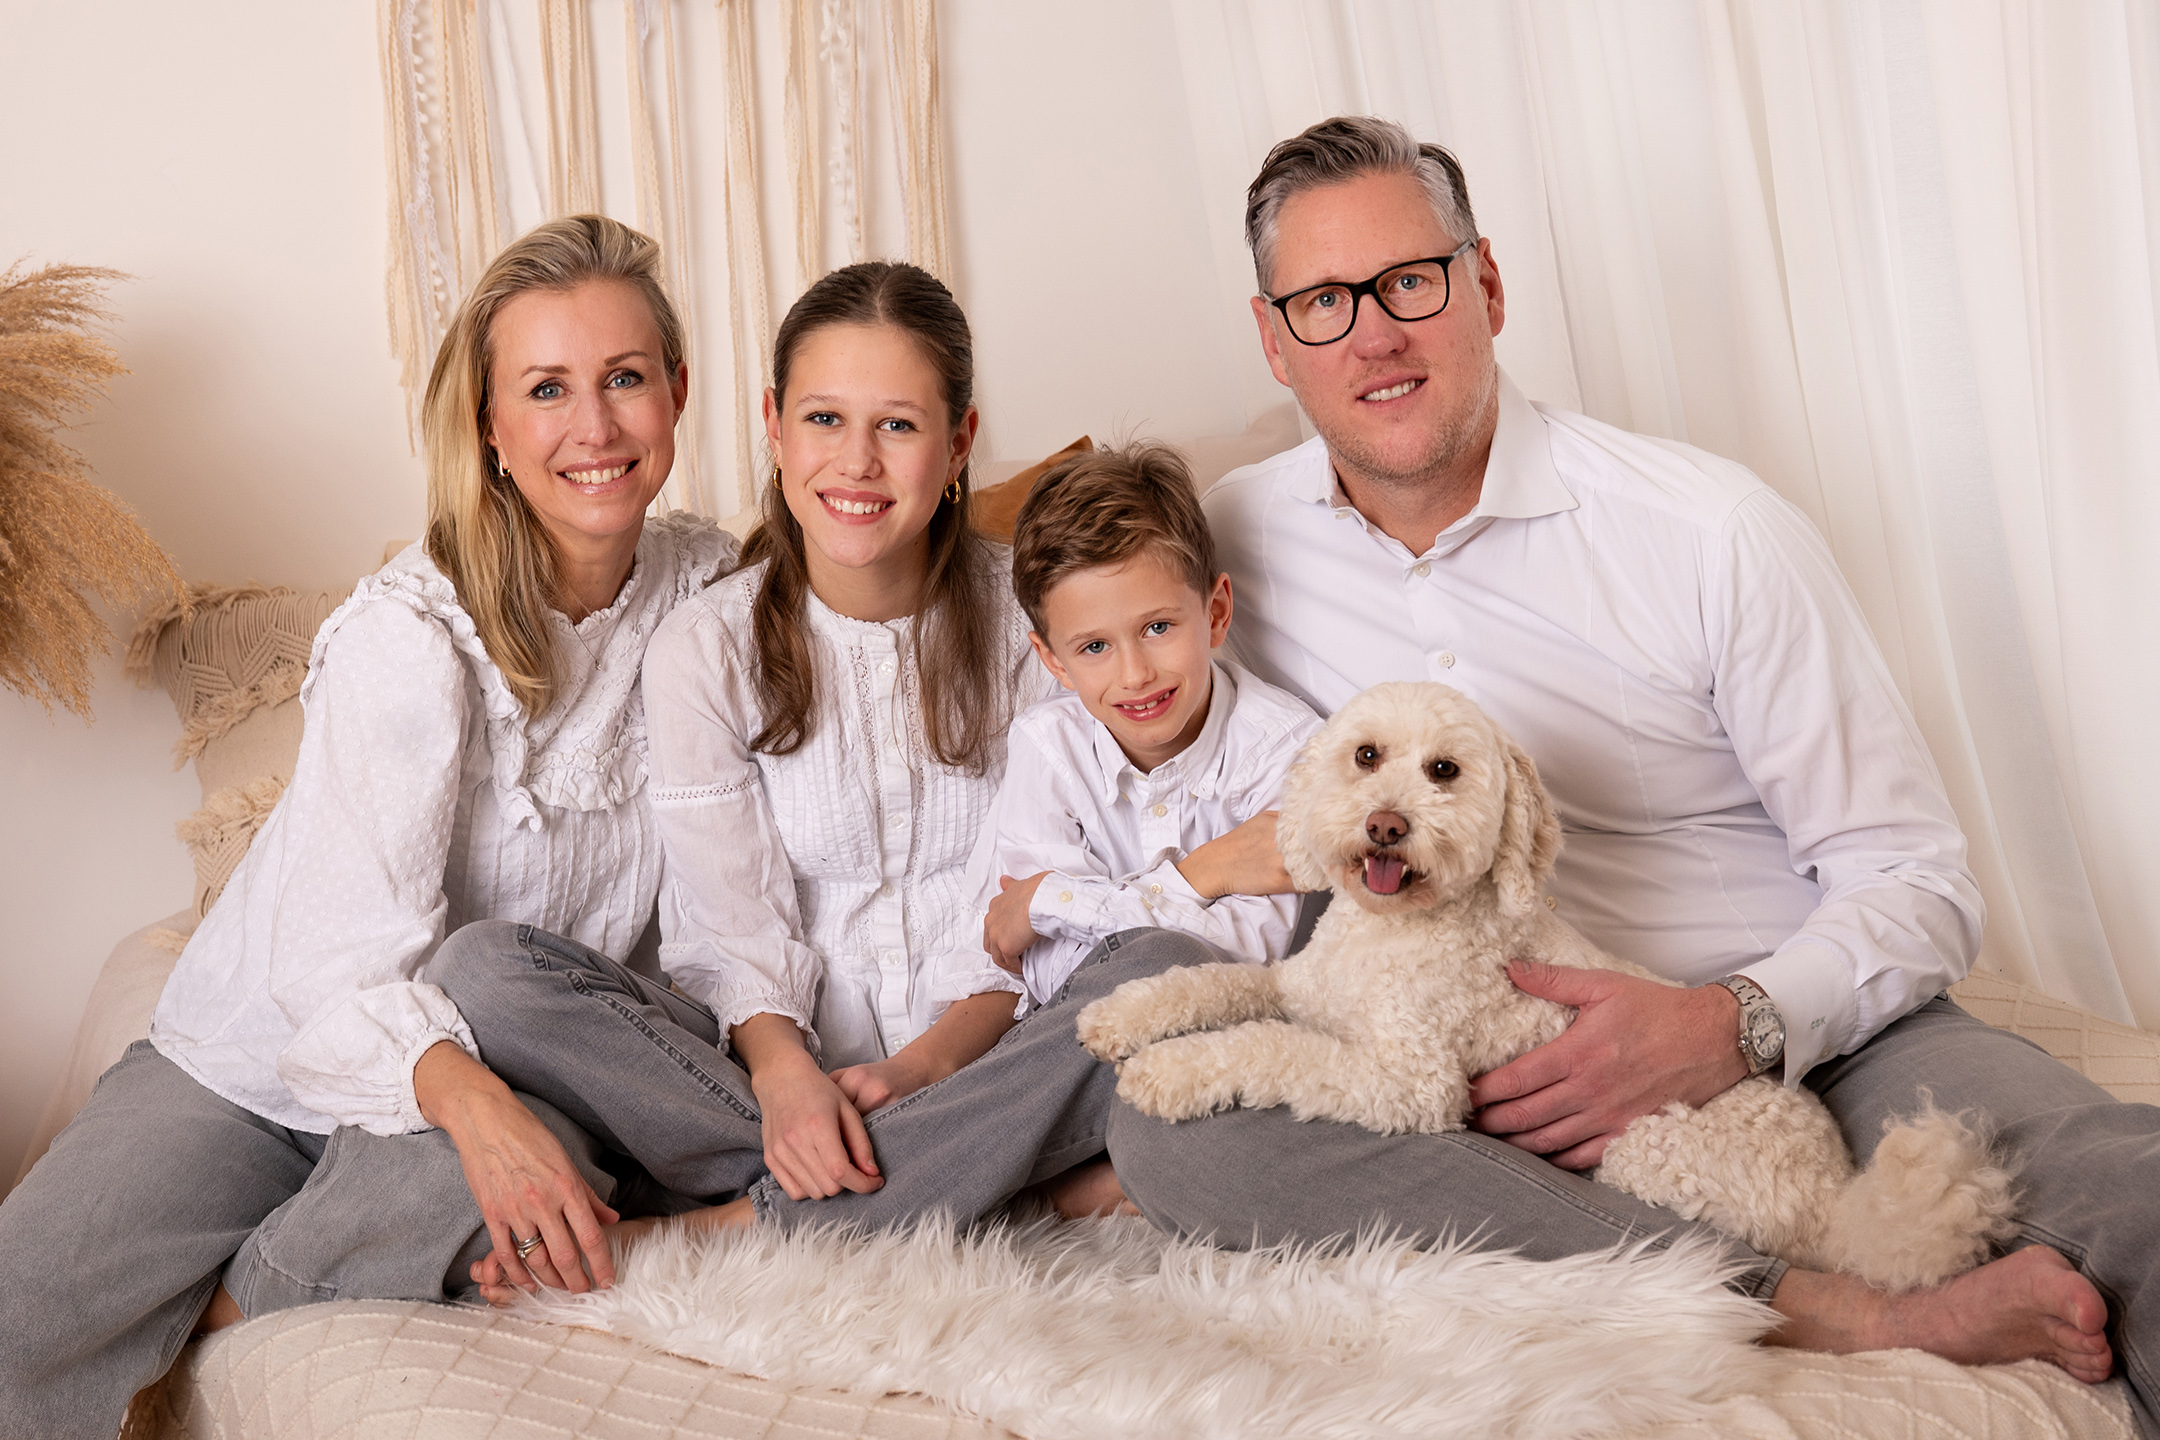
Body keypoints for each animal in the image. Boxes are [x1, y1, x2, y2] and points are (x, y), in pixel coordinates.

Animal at [1077, 682, 2014, 1290]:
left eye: (1445, 771)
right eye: (1366, 755)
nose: (1387, 825)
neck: (1397, 930)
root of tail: (1839, 1199)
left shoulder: (1405, 1081)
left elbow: (1270, 1048)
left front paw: (1166, 1070)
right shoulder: (1297, 988)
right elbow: (1217, 983)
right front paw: (1122, 1016)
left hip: (1646, 1153)